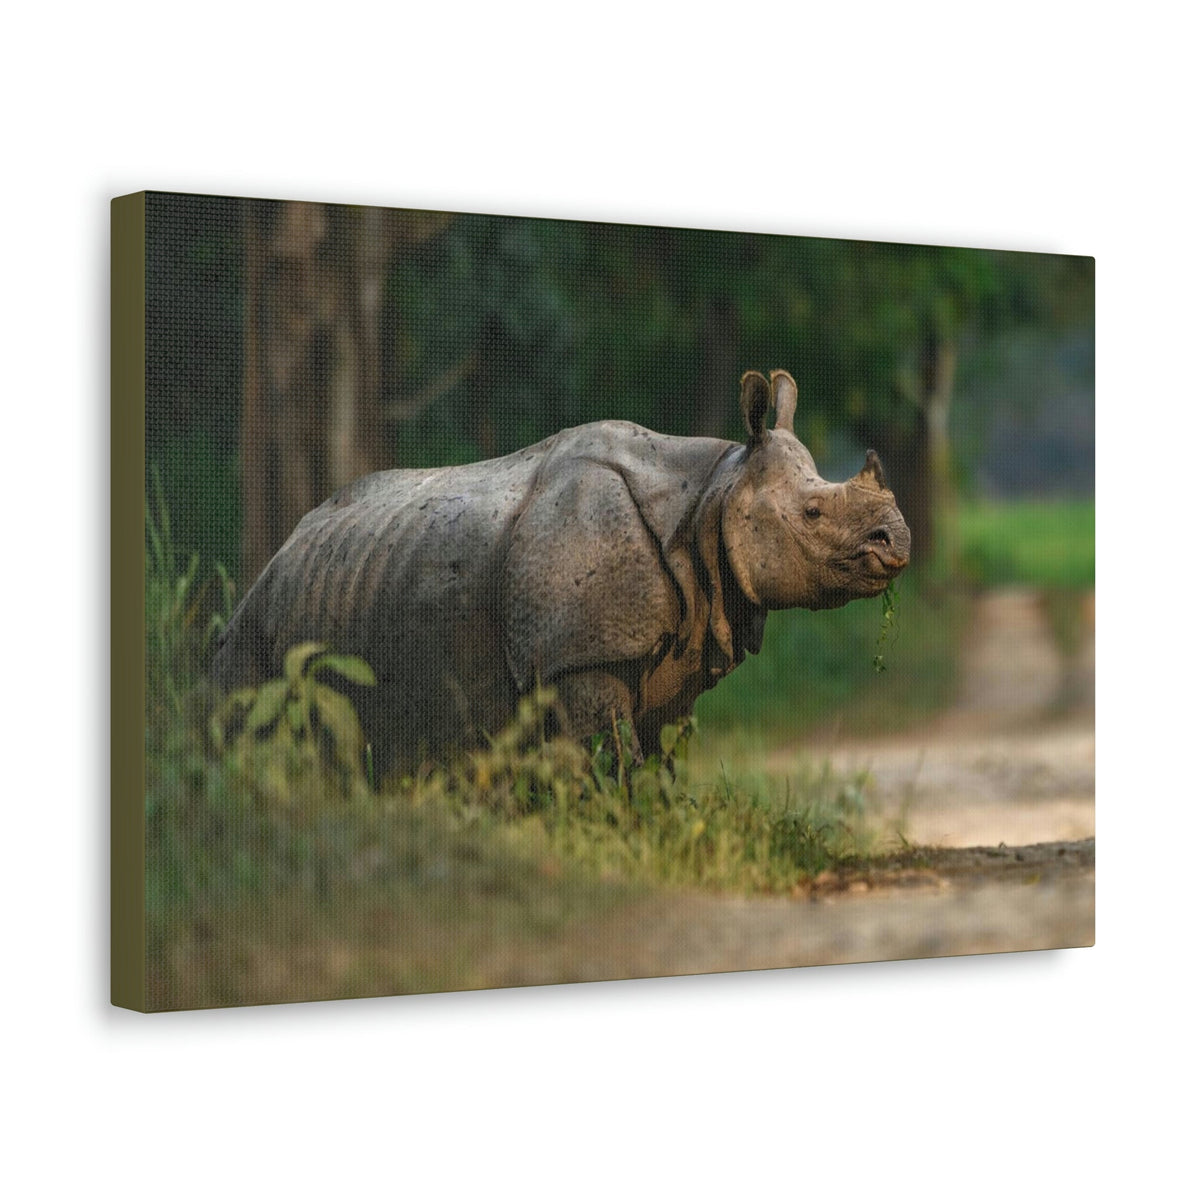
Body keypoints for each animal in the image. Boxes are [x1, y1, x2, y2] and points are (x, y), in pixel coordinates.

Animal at [212, 370, 910, 770]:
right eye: (813, 513)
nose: (898, 541)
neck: (714, 492)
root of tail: (278, 554)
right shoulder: (577, 655)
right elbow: (615, 762)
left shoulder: (678, 652)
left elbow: (659, 762)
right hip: (254, 628)